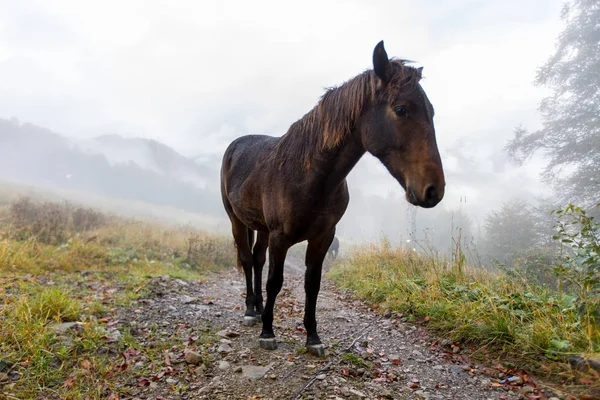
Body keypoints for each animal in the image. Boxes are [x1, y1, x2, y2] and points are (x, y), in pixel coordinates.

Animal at [220, 39, 446, 354]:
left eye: (432, 112)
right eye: (401, 109)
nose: (433, 190)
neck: (309, 175)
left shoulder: (323, 237)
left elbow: (312, 284)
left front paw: (312, 337)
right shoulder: (280, 237)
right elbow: (275, 281)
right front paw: (268, 332)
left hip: (261, 228)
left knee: (257, 259)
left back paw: (260, 308)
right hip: (237, 221)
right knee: (247, 259)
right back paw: (252, 311)